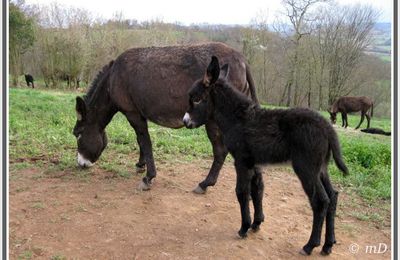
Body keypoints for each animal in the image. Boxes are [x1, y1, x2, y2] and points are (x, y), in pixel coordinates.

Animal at [185, 57, 350, 256]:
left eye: (196, 99)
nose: (185, 122)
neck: (237, 119)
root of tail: (327, 128)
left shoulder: (241, 161)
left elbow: (242, 192)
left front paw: (244, 228)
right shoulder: (254, 163)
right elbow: (257, 191)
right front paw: (256, 224)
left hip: (306, 168)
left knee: (320, 201)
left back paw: (310, 245)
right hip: (321, 168)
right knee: (333, 196)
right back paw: (328, 245)